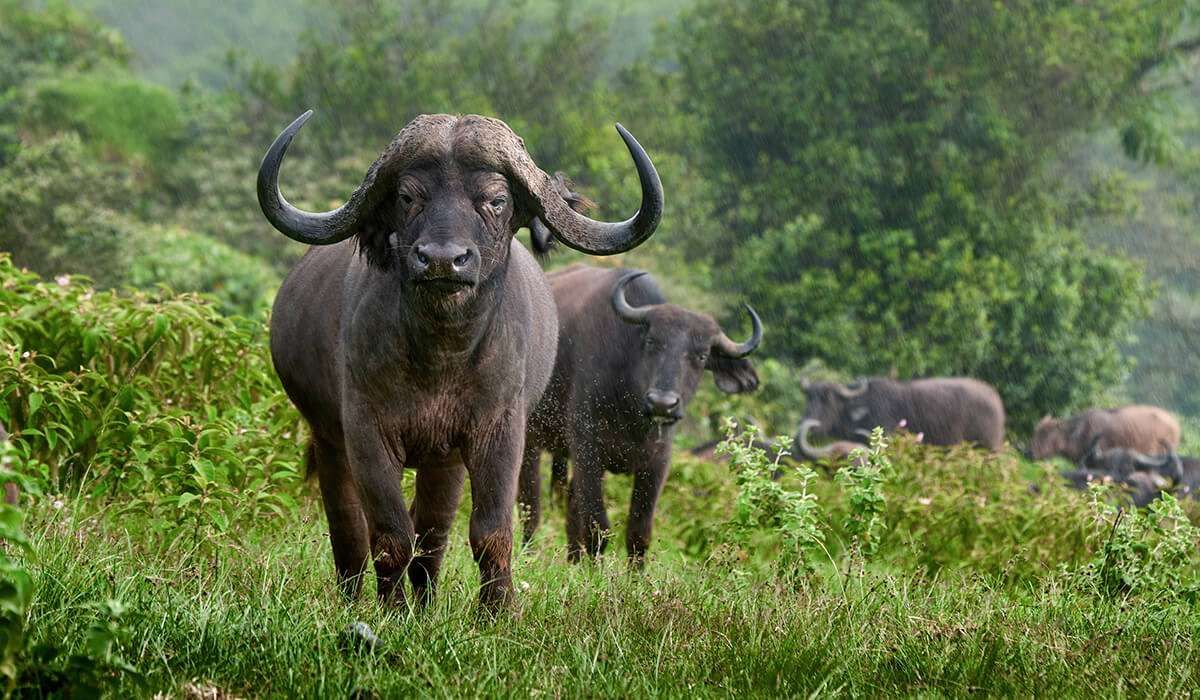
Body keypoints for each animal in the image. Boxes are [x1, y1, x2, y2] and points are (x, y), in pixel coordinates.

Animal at [260, 112, 663, 609]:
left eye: (496, 200)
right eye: (408, 197)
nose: (441, 260)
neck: (442, 357)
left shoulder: (500, 432)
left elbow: (489, 532)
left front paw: (497, 611)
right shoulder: (366, 430)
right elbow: (390, 534)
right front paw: (389, 611)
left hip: (443, 460)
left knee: (433, 530)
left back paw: (425, 603)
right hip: (328, 437)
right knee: (349, 526)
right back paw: (357, 598)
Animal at [519, 266, 761, 565]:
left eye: (702, 356)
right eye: (651, 342)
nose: (662, 403)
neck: (631, 412)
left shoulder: (657, 461)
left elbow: (638, 532)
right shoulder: (587, 449)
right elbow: (597, 526)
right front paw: (594, 572)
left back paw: (573, 561)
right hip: (529, 440)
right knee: (530, 507)